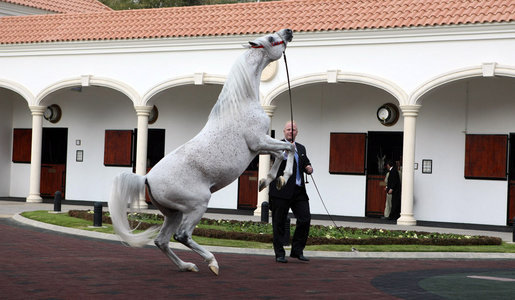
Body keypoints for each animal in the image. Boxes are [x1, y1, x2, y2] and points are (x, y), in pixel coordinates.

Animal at [108, 29, 294, 276]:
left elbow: (281, 153)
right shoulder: (259, 141)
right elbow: (289, 148)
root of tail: (146, 178)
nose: (289, 32)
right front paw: (281, 178)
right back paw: (212, 262)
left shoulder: (259, 147)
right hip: (197, 204)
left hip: (173, 213)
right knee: (182, 235)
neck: (241, 104)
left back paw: (187, 266)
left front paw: (269, 181)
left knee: (162, 241)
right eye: (272, 39)